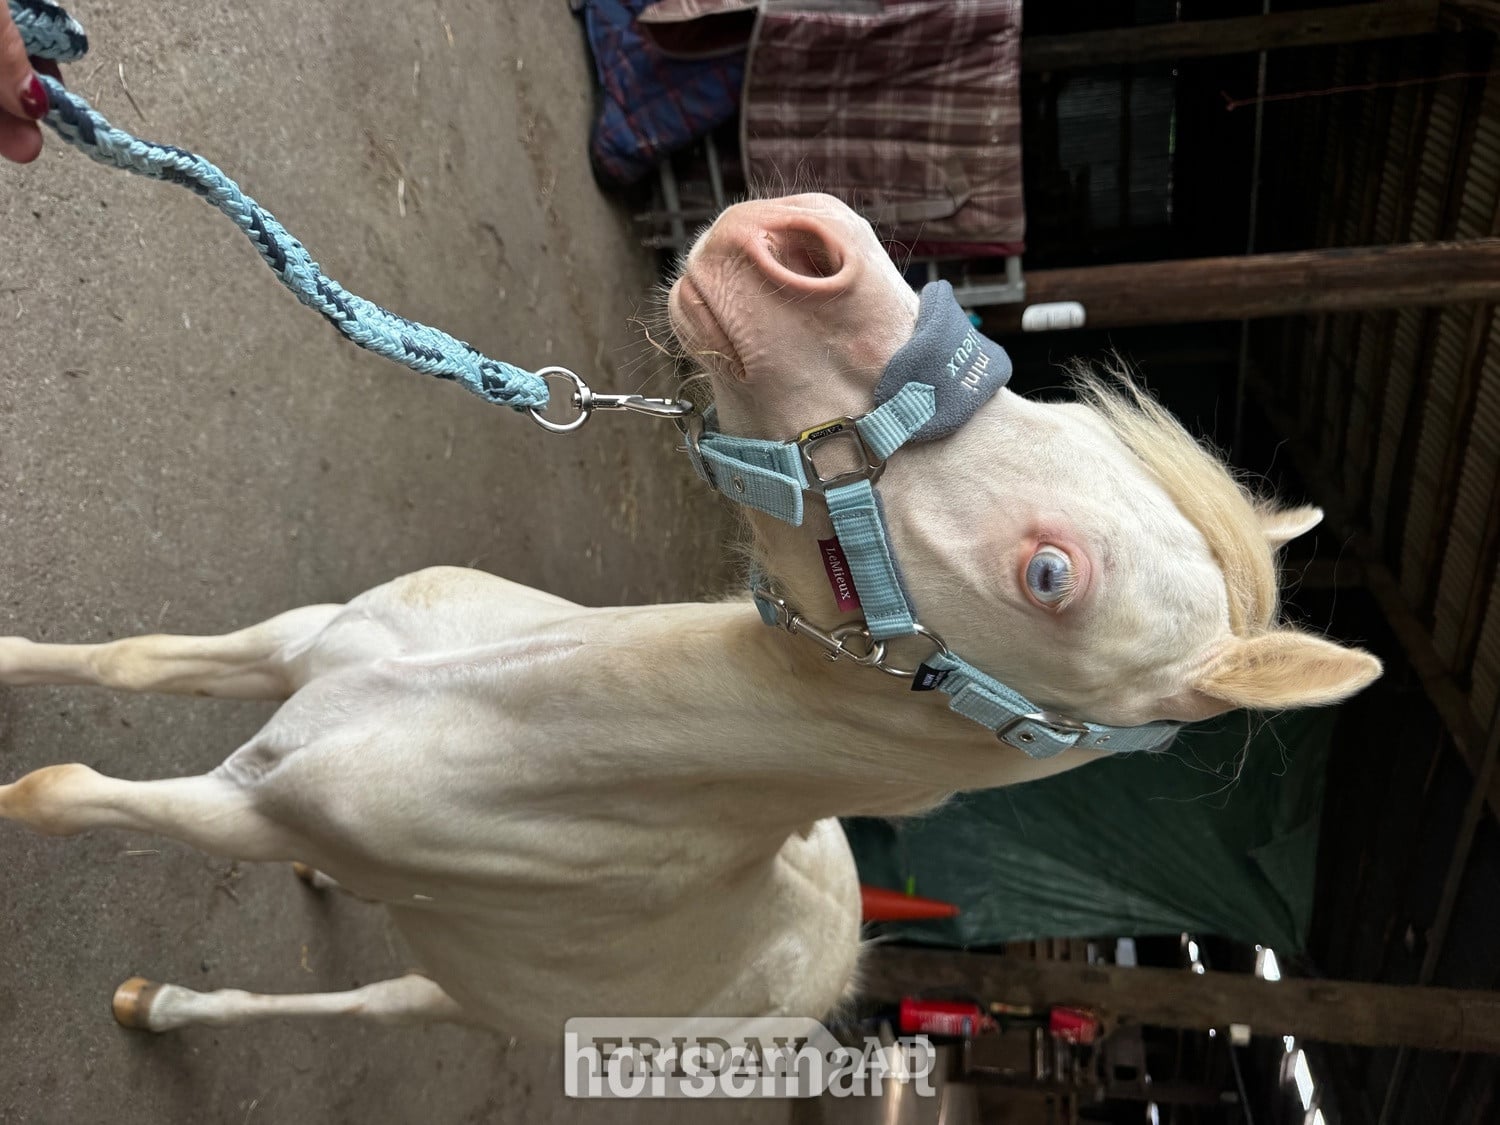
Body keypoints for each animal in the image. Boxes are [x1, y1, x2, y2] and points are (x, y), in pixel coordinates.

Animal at [0, 191, 1381, 1037]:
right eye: (1066, 412)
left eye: (1052, 576)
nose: (807, 242)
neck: (490, 703)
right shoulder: (301, 640)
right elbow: (123, 663)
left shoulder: (246, 806)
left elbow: (60, 792)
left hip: (470, 996)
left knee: (370, 1001)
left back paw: (164, 1007)